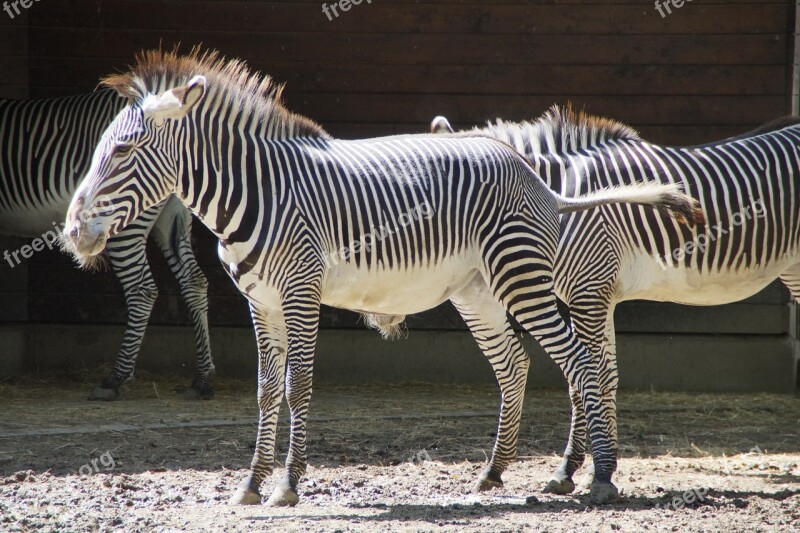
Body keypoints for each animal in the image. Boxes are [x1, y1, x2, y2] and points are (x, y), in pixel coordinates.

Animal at [0, 89, 216, 396]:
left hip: (126, 217)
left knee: (142, 289)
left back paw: (116, 377)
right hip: (172, 216)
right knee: (193, 280)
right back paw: (202, 378)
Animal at [59, 48, 700, 502]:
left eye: (123, 152)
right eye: (100, 149)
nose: (70, 232)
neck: (259, 194)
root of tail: (531, 172)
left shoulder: (300, 291)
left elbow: (298, 385)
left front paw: (287, 485)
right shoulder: (259, 301)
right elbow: (267, 391)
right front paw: (251, 484)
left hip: (520, 277)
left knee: (583, 364)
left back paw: (598, 476)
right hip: (479, 291)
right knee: (518, 364)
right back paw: (495, 473)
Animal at [432, 107, 800, 494]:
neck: (559, 198)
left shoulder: (589, 291)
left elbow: (585, 378)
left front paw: (594, 471)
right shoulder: (597, 295)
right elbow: (602, 375)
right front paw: (584, 468)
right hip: (792, 267)